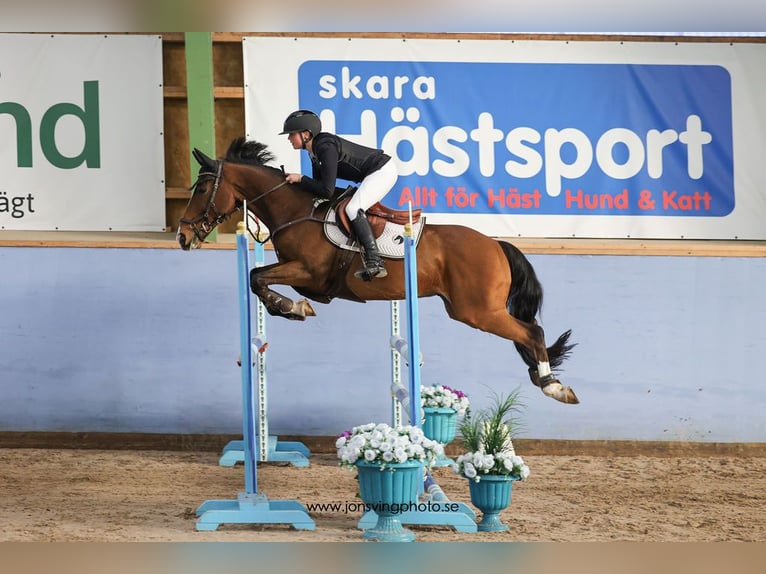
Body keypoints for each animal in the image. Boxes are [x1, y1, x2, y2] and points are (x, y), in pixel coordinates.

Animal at [177, 138, 580, 404]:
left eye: (203, 188)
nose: (182, 236)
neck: (295, 210)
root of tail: (496, 245)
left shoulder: (309, 273)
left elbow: (259, 278)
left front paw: (294, 308)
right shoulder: (299, 272)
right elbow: (256, 277)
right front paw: (293, 308)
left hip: (479, 312)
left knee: (532, 331)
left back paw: (553, 386)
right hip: (469, 309)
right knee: (528, 333)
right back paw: (544, 378)